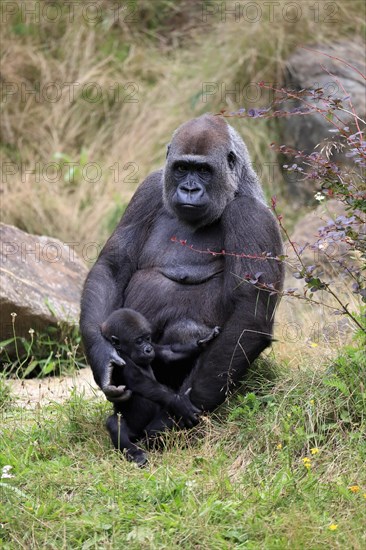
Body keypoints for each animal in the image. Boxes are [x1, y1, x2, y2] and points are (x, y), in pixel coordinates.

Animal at [80, 116, 284, 444]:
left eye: (203, 170)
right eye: (181, 168)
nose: (189, 189)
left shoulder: (251, 215)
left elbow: (249, 314)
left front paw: (169, 420)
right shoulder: (149, 189)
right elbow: (113, 266)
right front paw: (104, 360)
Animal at [101, 308, 219, 468]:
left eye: (148, 338)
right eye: (138, 341)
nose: (148, 349)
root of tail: (139, 437)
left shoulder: (156, 349)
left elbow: (170, 354)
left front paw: (203, 342)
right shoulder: (121, 361)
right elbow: (139, 382)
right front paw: (178, 402)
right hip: (134, 434)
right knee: (114, 423)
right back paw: (136, 454)